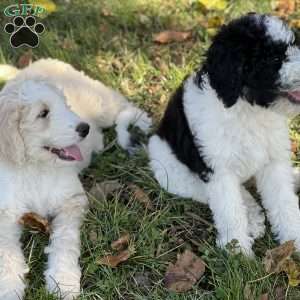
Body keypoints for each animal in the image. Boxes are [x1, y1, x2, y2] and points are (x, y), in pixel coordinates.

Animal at [149, 12, 300, 254]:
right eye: (273, 59)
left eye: (294, 46)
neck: (249, 110)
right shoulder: (219, 171)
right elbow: (230, 209)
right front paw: (238, 251)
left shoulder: (274, 162)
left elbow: (284, 201)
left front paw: (294, 237)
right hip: (171, 174)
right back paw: (253, 217)